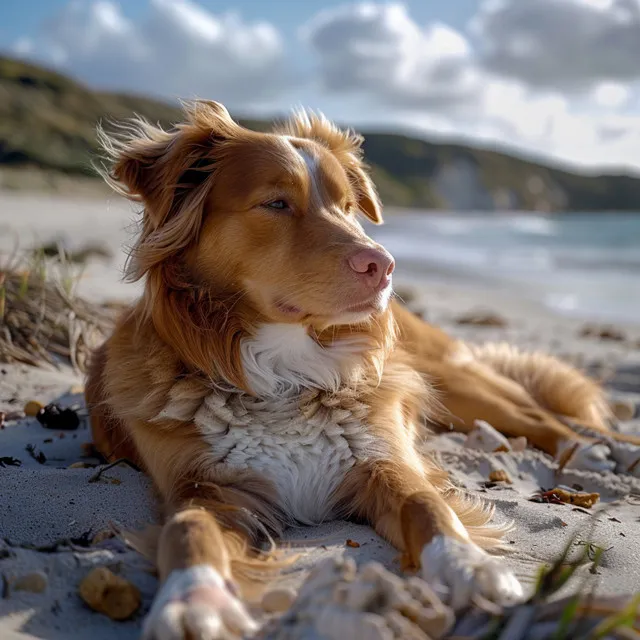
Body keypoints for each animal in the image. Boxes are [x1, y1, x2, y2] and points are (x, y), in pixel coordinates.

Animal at [86, 100, 640, 636]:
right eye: (276, 203)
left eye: (348, 207)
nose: (384, 267)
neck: (287, 373)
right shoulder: (204, 488)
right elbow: (188, 531)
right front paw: (194, 601)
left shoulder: (383, 459)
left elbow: (428, 505)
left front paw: (469, 567)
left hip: (452, 384)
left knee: (542, 416)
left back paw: (596, 451)